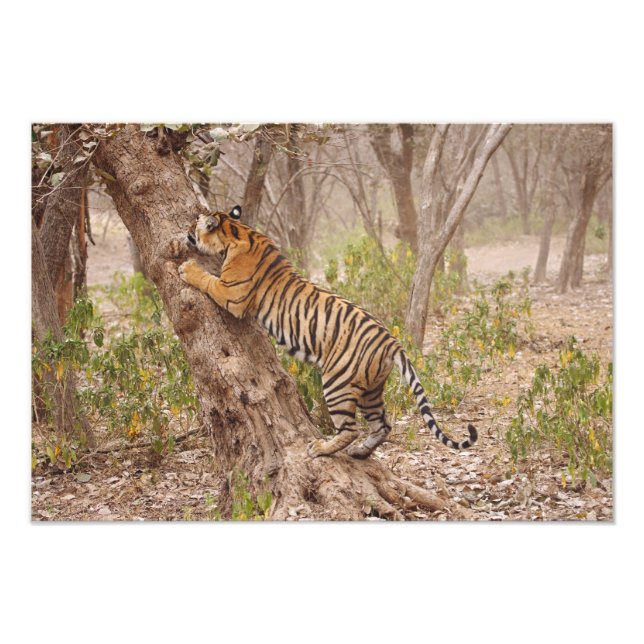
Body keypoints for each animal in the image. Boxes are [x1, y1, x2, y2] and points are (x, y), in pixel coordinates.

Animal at [179, 205, 477, 459]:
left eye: (195, 223)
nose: (186, 231)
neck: (238, 231)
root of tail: (392, 342)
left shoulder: (231, 294)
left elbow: (207, 280)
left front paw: (187, 268)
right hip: (372, 389)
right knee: (382, 424)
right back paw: (360, 452)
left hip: (337, 383)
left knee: (350, 428)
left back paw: (322, 448)